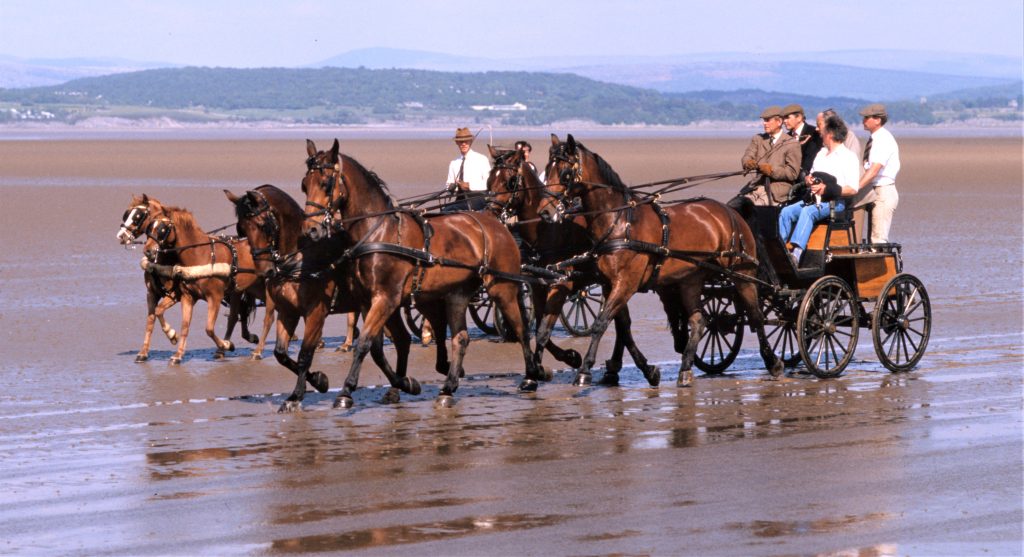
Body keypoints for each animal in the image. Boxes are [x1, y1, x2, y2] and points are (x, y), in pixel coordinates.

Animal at [226, 185, 413, 411]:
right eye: (241, 230)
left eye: (263, 226)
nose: (264, 272)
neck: (301, 257)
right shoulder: (288, 312)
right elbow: (281, 354)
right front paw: (318, 380)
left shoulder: (316, 312)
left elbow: (305, 354)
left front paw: (296, 395)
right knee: (398, 341)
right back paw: (400, 386)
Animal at [303, 139, 544, 409]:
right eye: (304, 184)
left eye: (326, 183)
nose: (311, 230)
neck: (379, 232)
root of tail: (496, 223)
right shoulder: (369, 301)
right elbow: (377, 347)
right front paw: (403, 383)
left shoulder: (386, 299)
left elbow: (364, 343)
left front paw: (346, 391)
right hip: (457, 294)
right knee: (460, 338)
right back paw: (448, 387)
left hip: (502, 287)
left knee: (521, 328)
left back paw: (531, 376)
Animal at [483, 143, 659, 387]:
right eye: (490, 179)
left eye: (510, 181)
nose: (489, 213)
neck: (548, 230)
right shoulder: (538, 284)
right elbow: (540, 326)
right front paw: (540, 370)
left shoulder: (562, 283)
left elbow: (544, 330)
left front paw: (566, 360)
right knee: (622, 323)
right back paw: (616, 369)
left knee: (620, 322)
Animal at [540, 135, 778, 387]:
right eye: (547, 169)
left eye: (565, 173)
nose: (545, 212)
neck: (620, 221)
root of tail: (730, 211)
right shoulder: (609, 284)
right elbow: (622, 328)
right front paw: (646, 370)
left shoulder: (626, 283)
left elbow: (601, 324)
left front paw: (585, 370)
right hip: (691, 280)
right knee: (699, 321)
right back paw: (685, 368)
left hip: (743, 274)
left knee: (756, 316)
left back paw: (773, 361)